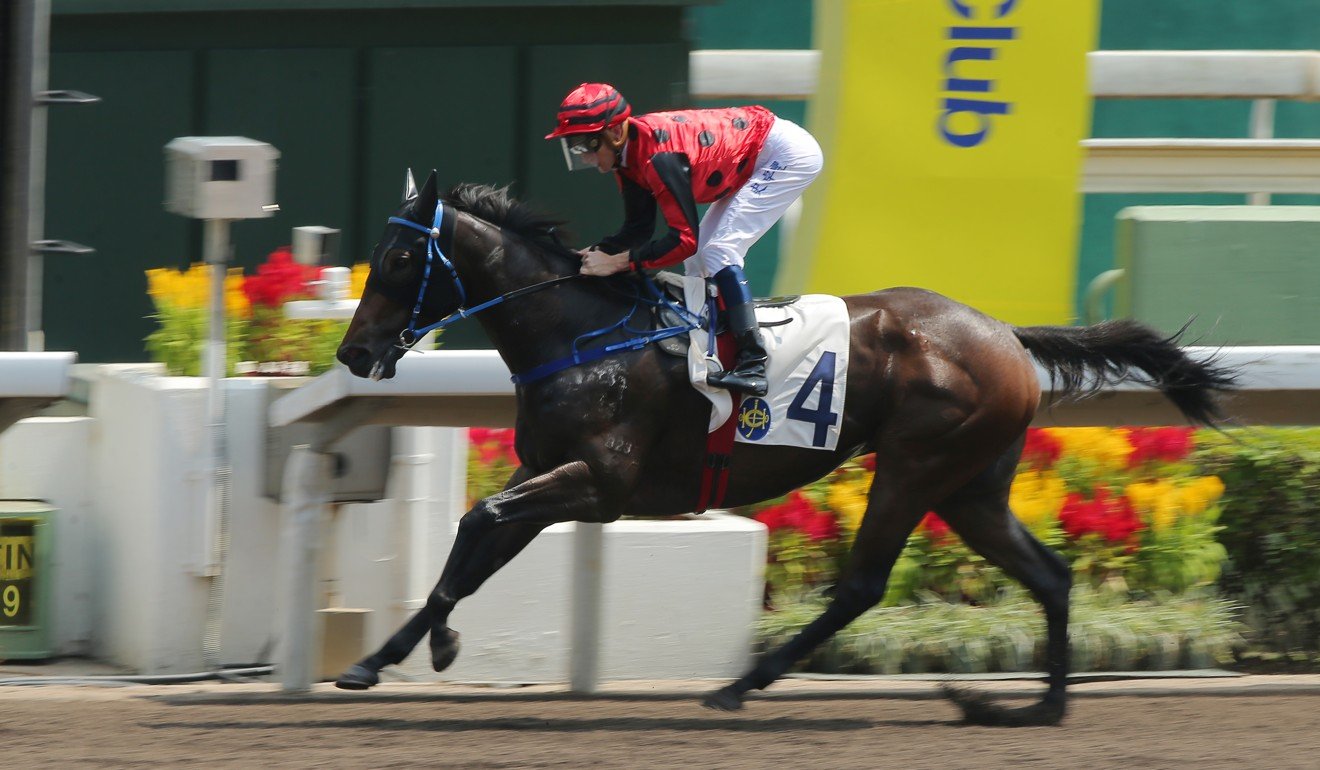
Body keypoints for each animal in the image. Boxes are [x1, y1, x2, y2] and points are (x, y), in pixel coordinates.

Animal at [332, 171, 1235, 723]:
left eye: (402, 257)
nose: (354, 353)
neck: (585, 334)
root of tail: (1004, 333)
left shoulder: (598, 482)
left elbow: (479, 519)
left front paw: (432, 647)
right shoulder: (547, 470)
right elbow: (474, 547)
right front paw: (383, 658)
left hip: (916, 464)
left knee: (862, 585)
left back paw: (741, 684)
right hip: (971, 486)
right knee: (1050, 575)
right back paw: (1039, 706)